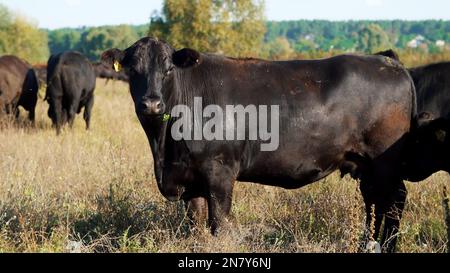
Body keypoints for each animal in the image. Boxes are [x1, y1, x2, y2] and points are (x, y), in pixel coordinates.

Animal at [101, 37, 414, 252]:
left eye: (168, 69)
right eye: (133, 70)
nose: (151, 104)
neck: (165, 148)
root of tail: (387, 60)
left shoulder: (220, 173)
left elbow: (219, 223)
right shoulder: (190, 180)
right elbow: (196, 226)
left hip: (384, 162)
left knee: (393, 201)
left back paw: (388, 245)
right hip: (366, 166)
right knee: (374, 202)